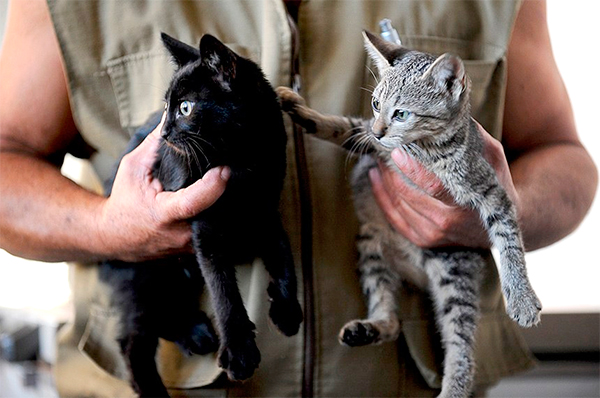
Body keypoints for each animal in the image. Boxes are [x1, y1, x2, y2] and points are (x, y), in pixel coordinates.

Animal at [101, 34, 304, 398]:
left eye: (185, 108)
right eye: (166, 107)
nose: (163, 134)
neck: (243, 162)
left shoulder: (266, 210)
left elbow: (284, 257)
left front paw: (286, 308)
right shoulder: (205, 231)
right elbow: (224, 293)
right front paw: (240, 352)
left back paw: (197, 333)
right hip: (143, 271)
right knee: (134, 341)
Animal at [278, 31, 540, 398]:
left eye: (401, 113)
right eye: (375, 104)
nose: (379, 131)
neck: (423, 150)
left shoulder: (492, 191)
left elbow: (509, 241)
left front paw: (522, 298)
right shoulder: (368, 137)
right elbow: (343, 126)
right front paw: (300, 109)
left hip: (452, 266)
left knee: (461, 342)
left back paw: (453, 387)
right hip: (371, 244)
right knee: (392, 319)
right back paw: (370, 328)